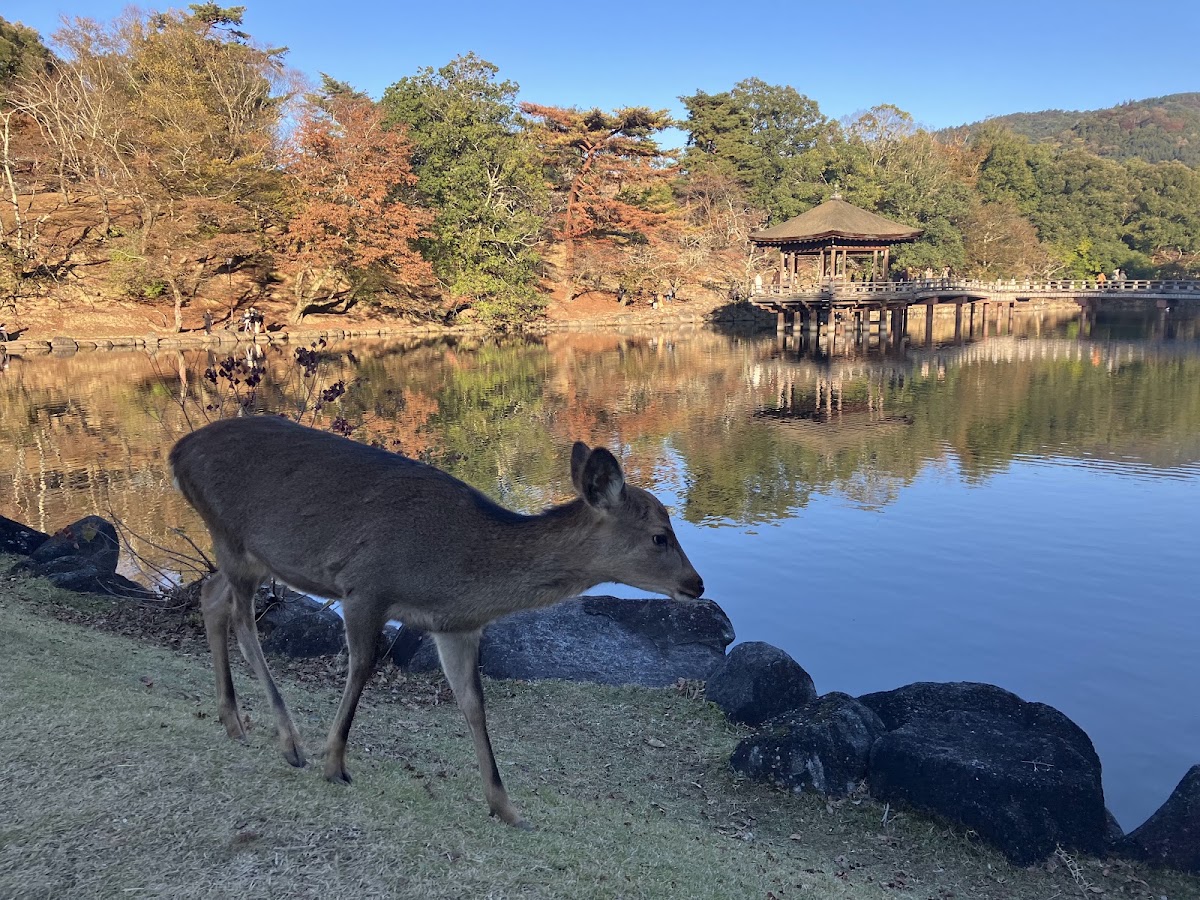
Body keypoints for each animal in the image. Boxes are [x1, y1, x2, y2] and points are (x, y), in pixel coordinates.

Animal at [169, 415, 704, 828]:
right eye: (660, 536)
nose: (697, 584)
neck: (456, 572)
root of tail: (177, 453)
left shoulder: (456, 627)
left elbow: (473, 704)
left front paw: (506, 808)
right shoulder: (365, 587)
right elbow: (361, 669)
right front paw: (335, 763)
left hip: (251, 554)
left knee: (211, 597)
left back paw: (234, 721)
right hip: (233, 536)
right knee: (244, 623)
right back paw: (289, 742)